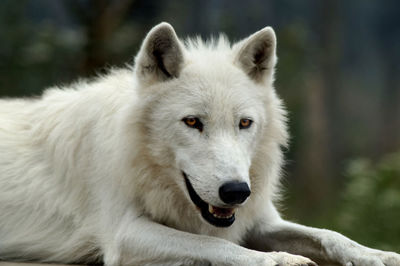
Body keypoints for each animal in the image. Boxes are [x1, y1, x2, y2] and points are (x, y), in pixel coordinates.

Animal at [0, 21, 400, 264]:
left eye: (244, 123)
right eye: (192, 122)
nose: (237, 191)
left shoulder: (258, 221)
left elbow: (329, 235)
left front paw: (376, 255)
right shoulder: (123, 233)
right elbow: (216, 244)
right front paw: (278, 259)